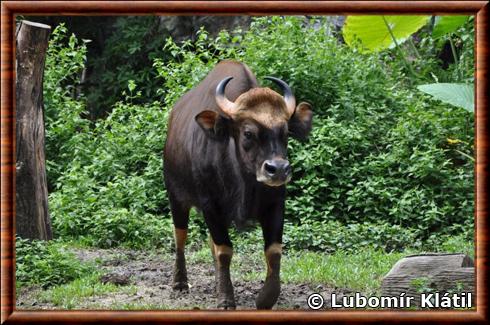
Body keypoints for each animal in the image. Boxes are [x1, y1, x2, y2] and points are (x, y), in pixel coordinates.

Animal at [163, 60, 312, 308]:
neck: (243, 180)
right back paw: (180, 282)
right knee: (180, 237)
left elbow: (273, 251)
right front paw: (225, 298)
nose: (278, 169)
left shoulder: (276, 204)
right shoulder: (210, 205)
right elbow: (224, 250)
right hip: (176, 198)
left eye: (285, 133)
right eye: (248, 132)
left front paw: (266, 298)